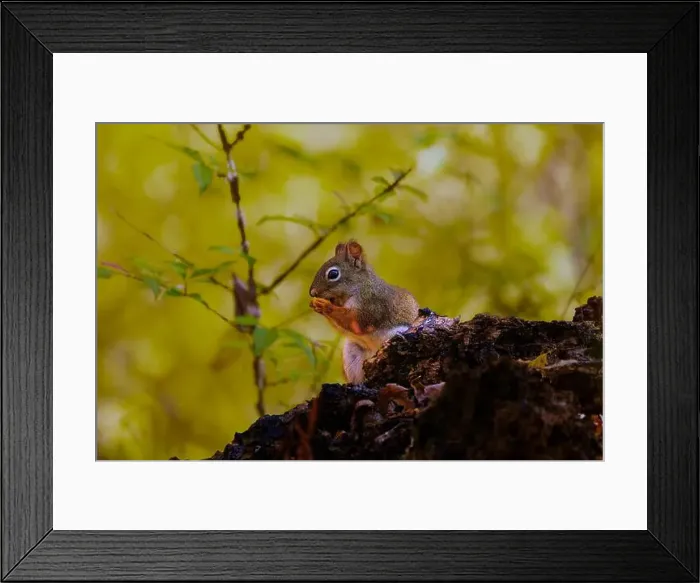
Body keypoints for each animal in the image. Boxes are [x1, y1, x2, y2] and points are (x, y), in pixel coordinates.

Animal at [308, 239, 420, 384]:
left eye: (333, 274)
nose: (312, 293)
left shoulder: (372, 302)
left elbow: (357, 321)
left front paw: (325, 305)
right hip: (352, 353)